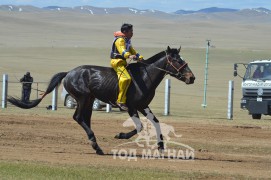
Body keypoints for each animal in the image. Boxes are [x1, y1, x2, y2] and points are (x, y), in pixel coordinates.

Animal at [8, 46, 196, 155]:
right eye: (177, 60)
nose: (191, 77)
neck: (144, 76)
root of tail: (68, 73)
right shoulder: (131, 107)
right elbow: (139, 126)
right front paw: (120, 135)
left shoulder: (144, 106)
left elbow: (156, 123)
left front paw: (161, 147)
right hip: (83, 98)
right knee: (78, 118)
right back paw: (96, 146)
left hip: (89, 99)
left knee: (85, 119)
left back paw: (96, 145)